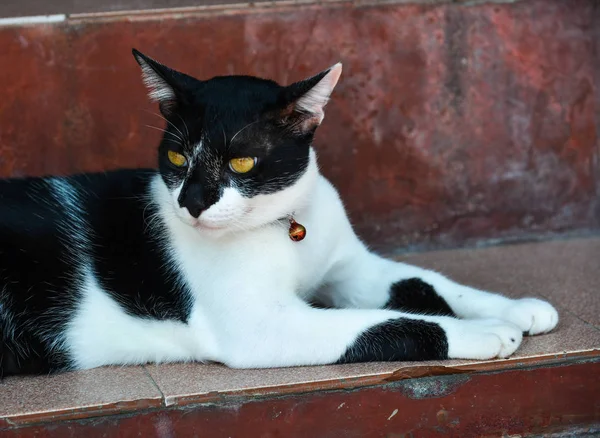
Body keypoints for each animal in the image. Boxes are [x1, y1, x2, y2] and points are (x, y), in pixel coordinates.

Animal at [0, 48, 556, 376]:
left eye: (242, 161)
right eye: (177, 158)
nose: (191, 202)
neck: (283, 227)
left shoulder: (353, 269)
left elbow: (429, 283)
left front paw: (516, 307)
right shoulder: (261, 327)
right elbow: (381, 322)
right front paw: (482, 332)